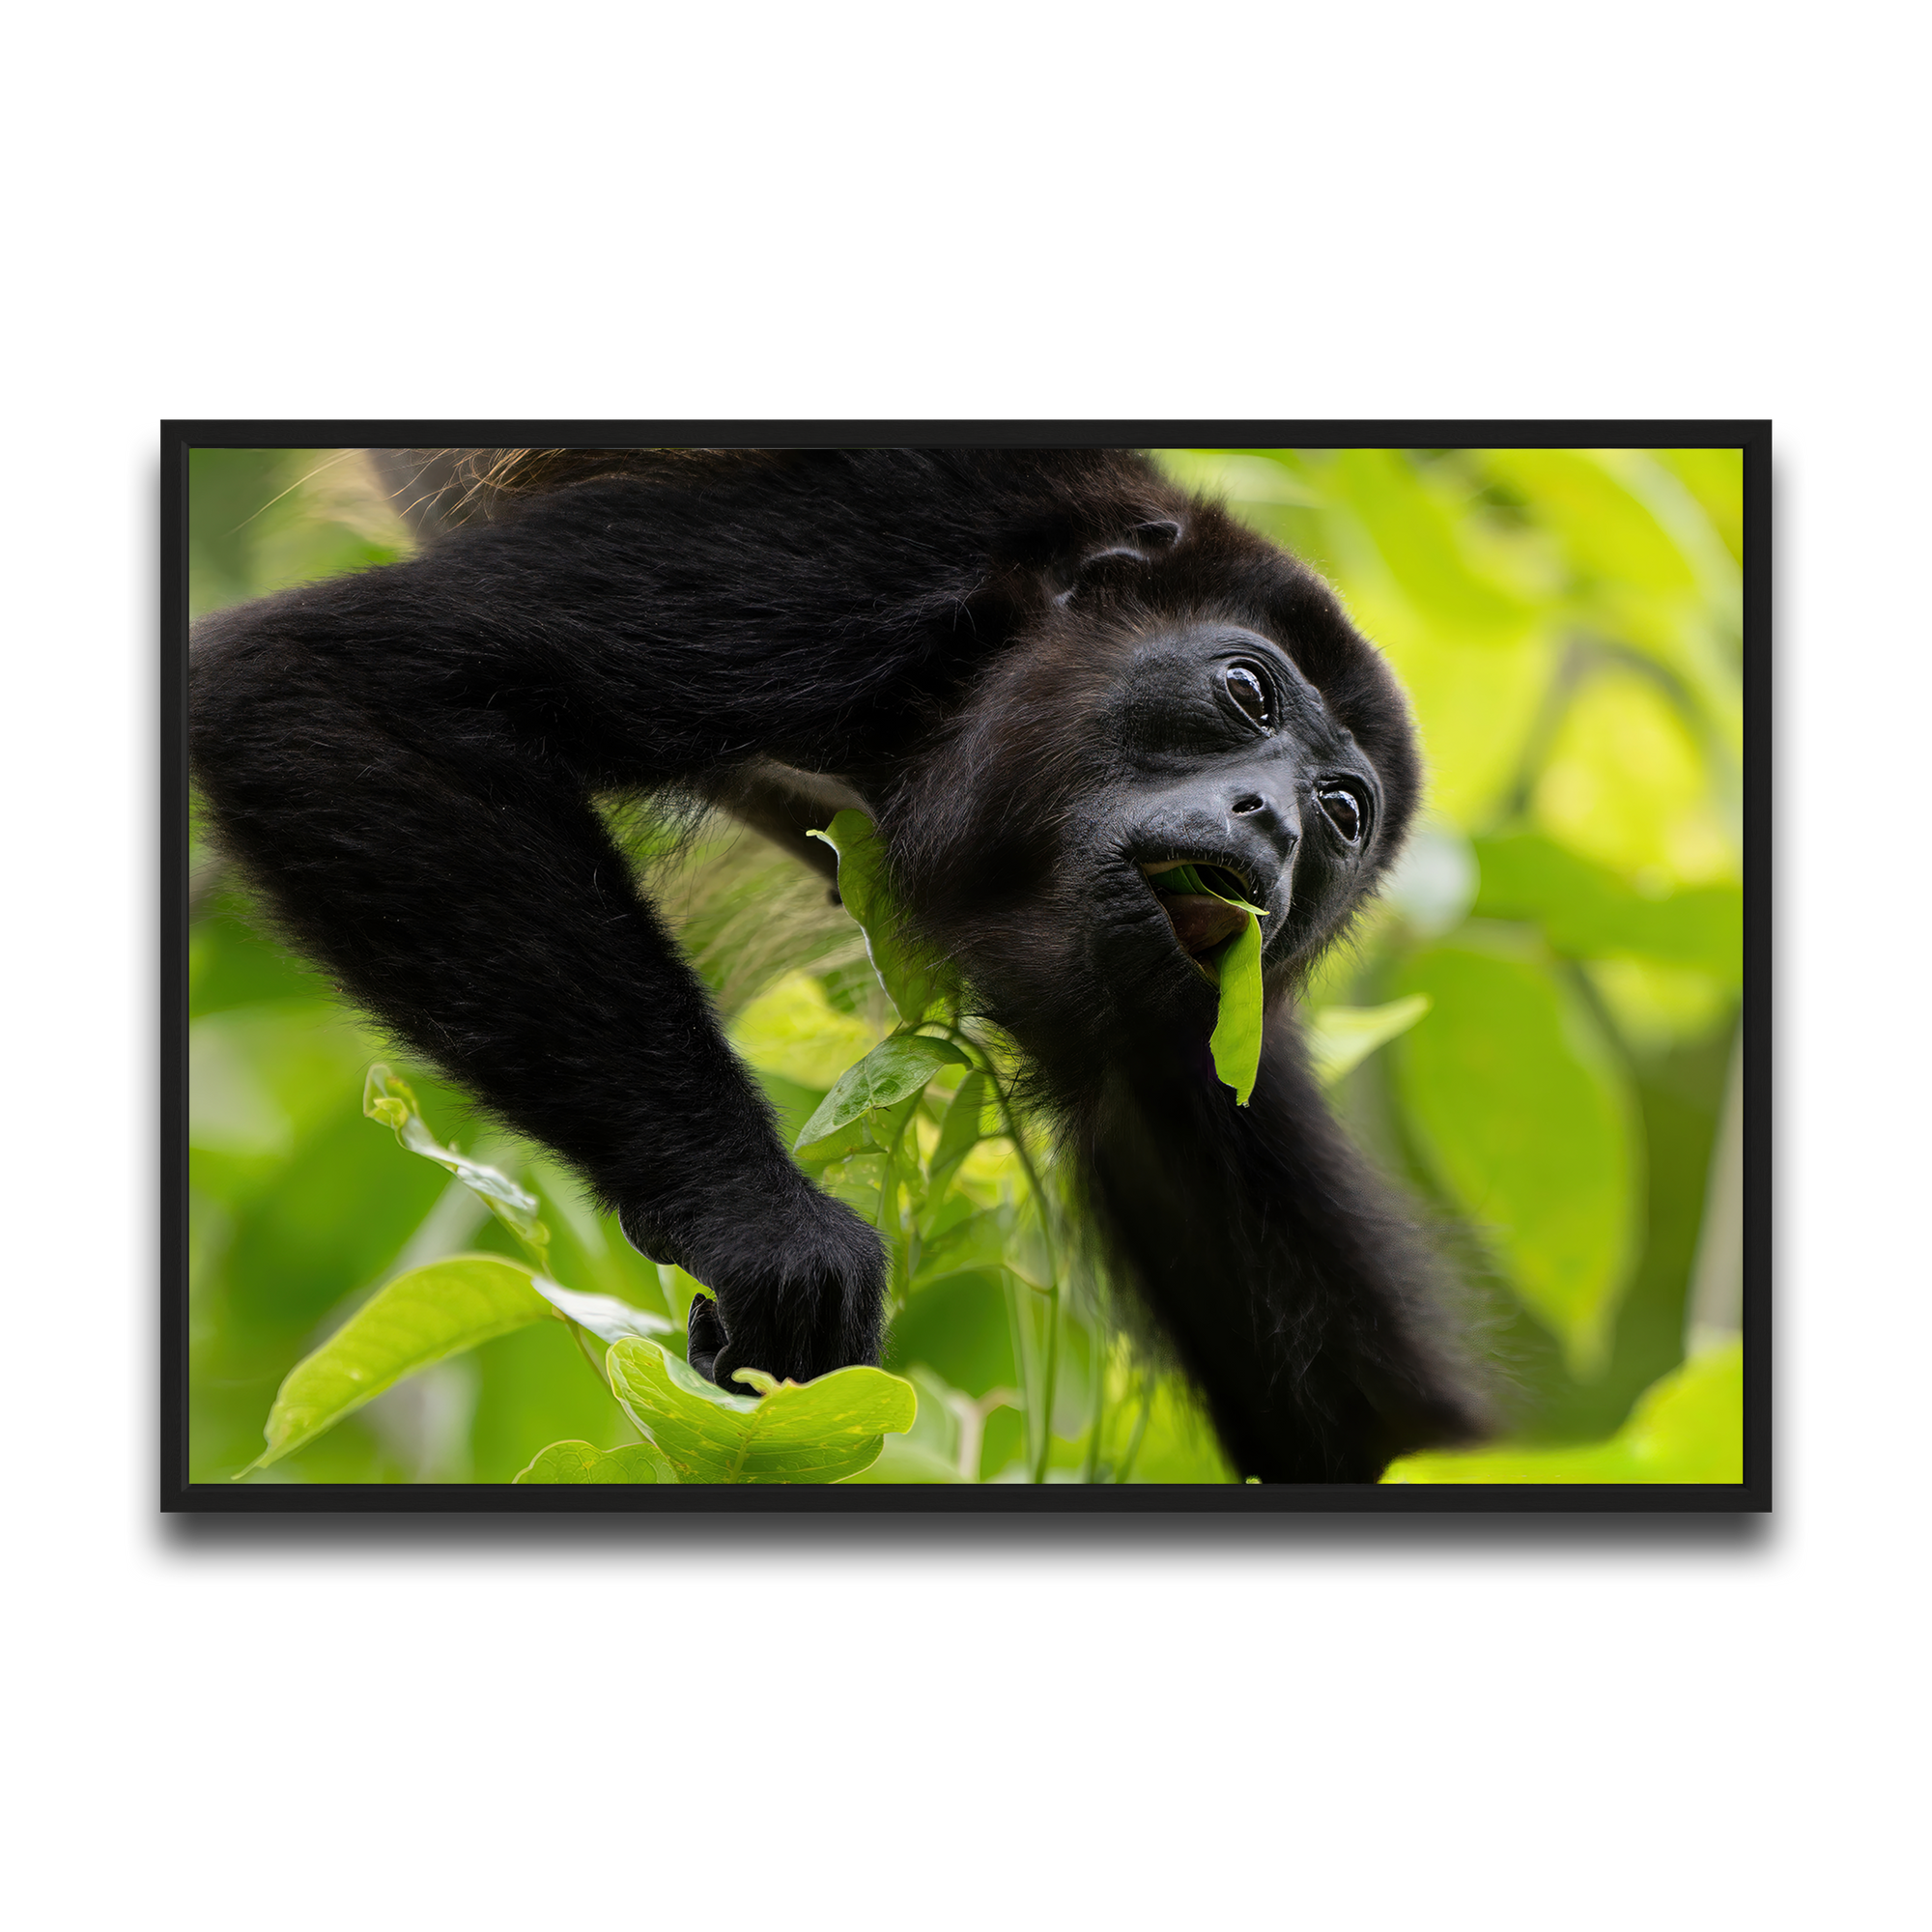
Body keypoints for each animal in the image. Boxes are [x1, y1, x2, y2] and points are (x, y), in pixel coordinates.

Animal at [192, 448, 1492, 1476]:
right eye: (1244, 689)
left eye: (1340, 812)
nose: (1275, 827)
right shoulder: (867, 546)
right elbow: (336, 681)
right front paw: (762, 1224)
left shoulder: (1197, 1044)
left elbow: (1363, 1410)